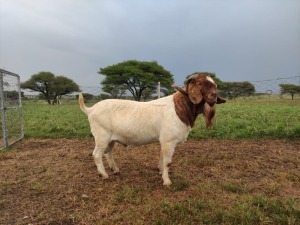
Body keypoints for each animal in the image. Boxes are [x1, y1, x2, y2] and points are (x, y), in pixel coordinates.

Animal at [78, 73, 226, 185]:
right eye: (200, 83)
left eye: (214, 85)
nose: (213, 95)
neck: (179, 107)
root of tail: (91, 109)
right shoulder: (169, 141)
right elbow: (167, 161)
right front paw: (167, 181)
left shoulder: (164, 140)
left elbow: (162, 158)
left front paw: (160, 172)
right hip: (101, 137)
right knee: (97, 154)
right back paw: (104, 175)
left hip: (111, 139)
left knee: (108, 152)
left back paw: (115, 169)